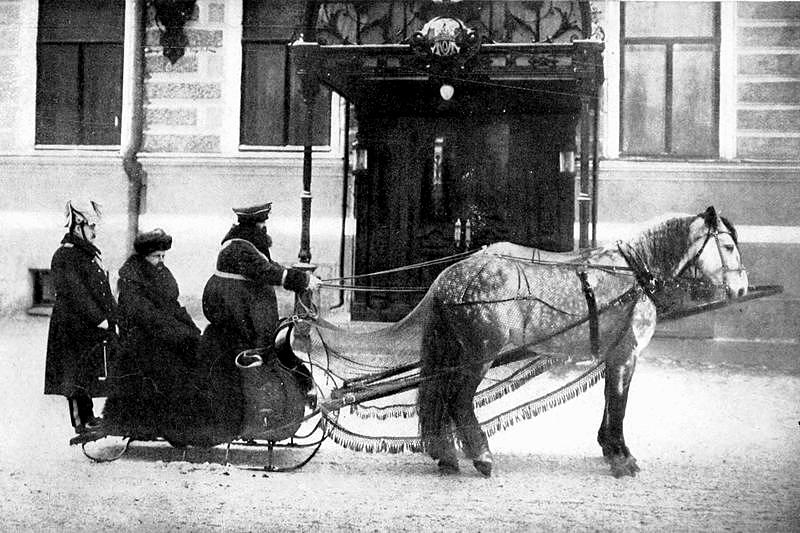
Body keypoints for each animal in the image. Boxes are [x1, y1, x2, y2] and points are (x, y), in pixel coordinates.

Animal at [418, 206, 752, 476]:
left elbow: (610, 399)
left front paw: (611, 448)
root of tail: (449, 277)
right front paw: (621, 459)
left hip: (458, 352)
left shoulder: (616, 356)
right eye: (727, 245)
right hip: (481, 353)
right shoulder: (626, 353)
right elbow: (619, 403)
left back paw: (447, 455)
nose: (742, 288)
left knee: (441, 397)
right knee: (459, 400)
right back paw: (482, 456)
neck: (635, 274)